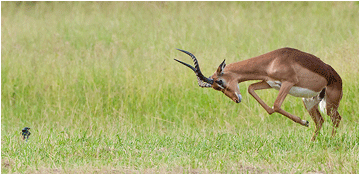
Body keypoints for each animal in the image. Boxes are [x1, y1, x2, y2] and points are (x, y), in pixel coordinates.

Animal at [175, 47, 344, 141]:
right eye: (217, 88)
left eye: (220, 81)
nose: (236, 99)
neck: (273, 61)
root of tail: (336, 77)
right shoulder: (269, 83)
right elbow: (251, 89)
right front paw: (303, 122)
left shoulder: (288, 83)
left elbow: (276, 105)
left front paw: (303, 122)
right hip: (309, 101)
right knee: (320, 121)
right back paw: (311, 143)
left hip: (330, 104)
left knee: (336, 119)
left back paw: (331, 141)